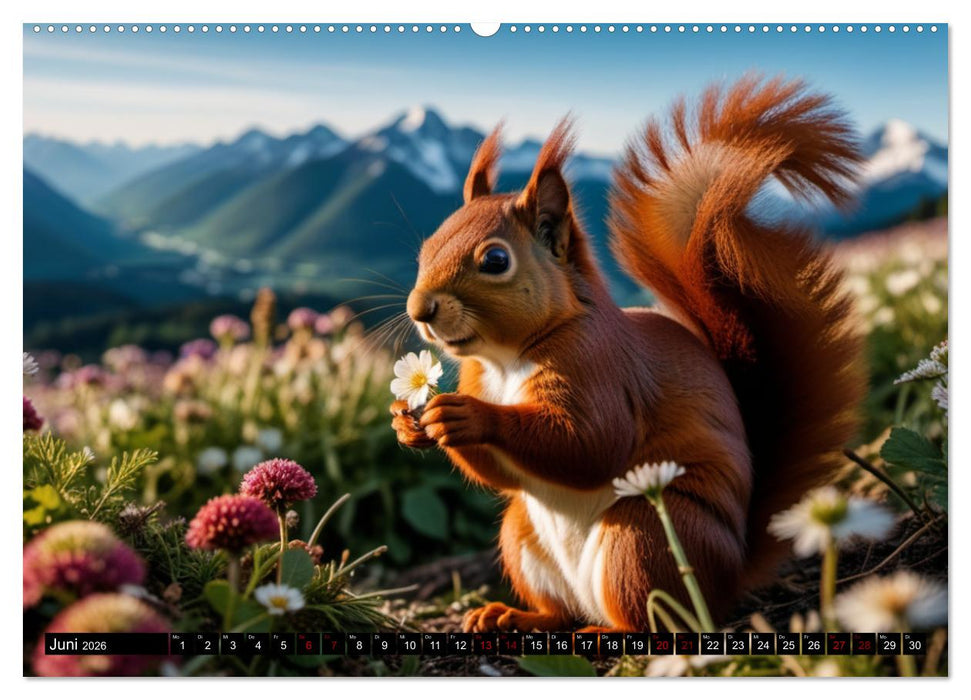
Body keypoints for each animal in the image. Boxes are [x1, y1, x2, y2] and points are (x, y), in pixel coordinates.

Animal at [390, 75, 866, 633]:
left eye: (495, 260)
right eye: (426, 247)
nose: (419, 309)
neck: (506, 360)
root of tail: (730, 576)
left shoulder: (596, 367)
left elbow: (591, 444)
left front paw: (464, 416)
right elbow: (505, 474)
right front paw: (407, 423)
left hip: (645, 536)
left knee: (647, 618)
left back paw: (601, 632)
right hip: (522, 533)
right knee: (558, 611)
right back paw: (511, 616)